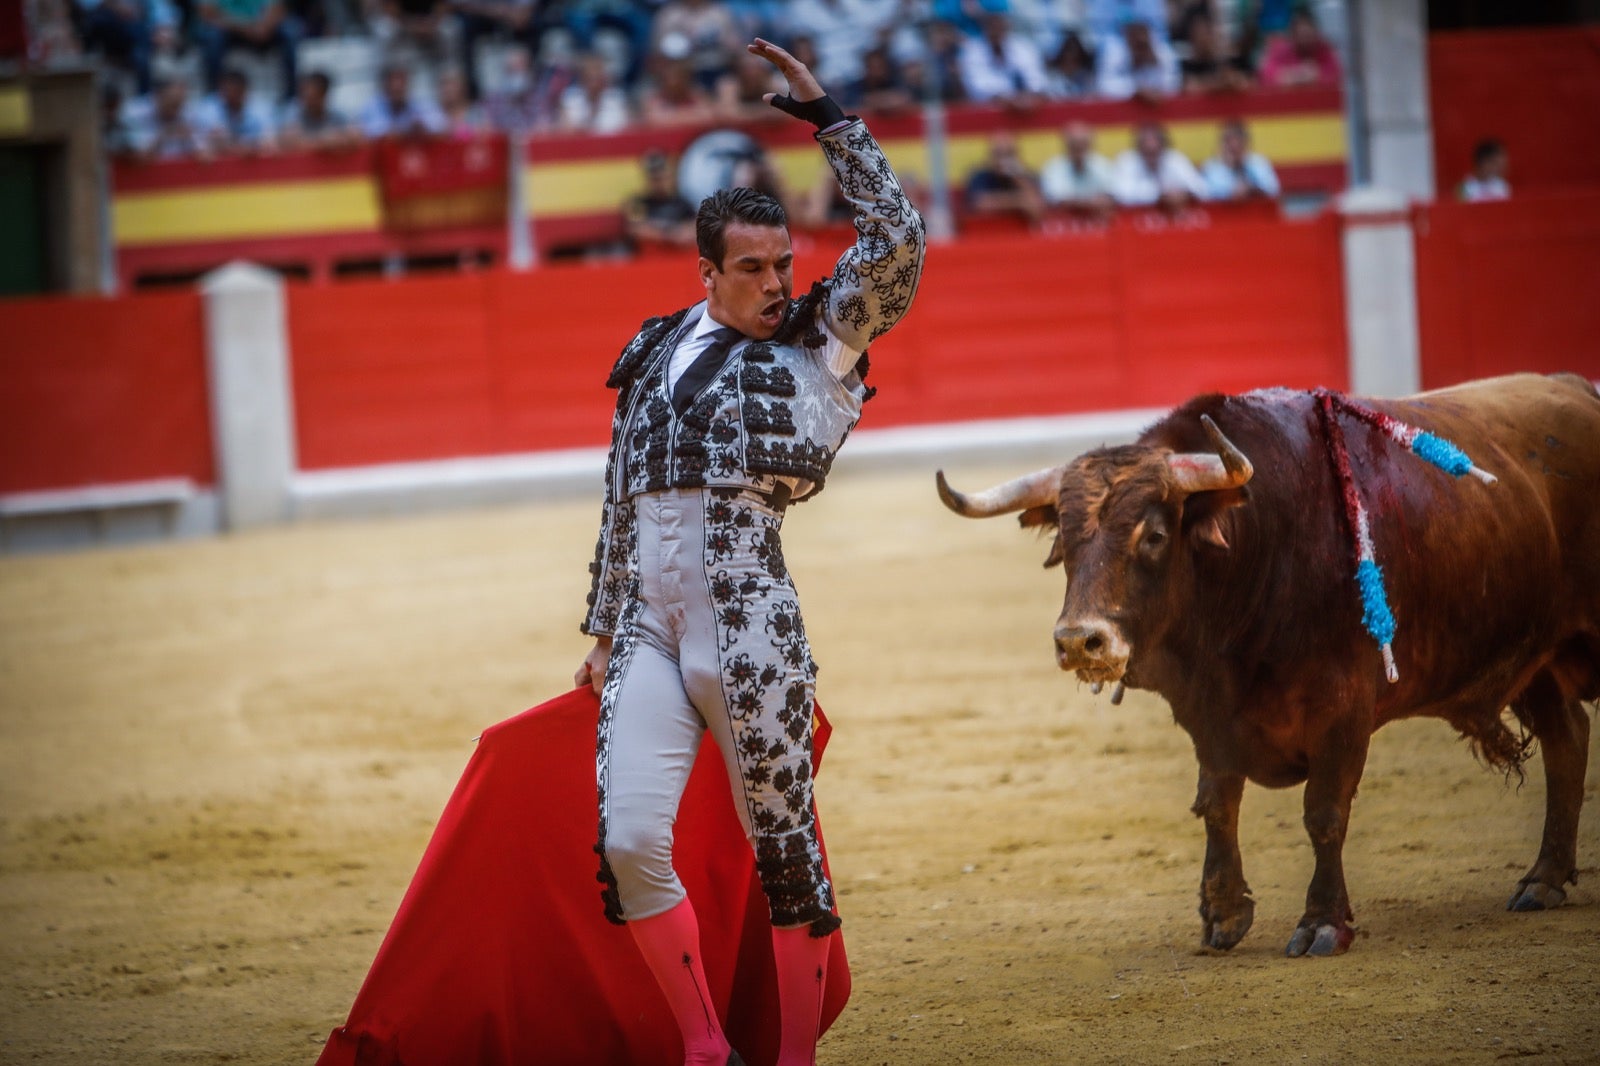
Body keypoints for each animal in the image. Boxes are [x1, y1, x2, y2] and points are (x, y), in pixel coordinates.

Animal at [934, 371, 1600, 953]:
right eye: (1064, 543)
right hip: (1536, 659)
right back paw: (1543, 880)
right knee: (1567, 737)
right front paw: (1223, 914)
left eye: (1154, 536)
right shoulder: (1209, 717)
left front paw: (1322, 923)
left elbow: (1324, 813)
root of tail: (1579, 388)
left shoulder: (1343, 710)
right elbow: (1217, 804)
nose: (1080, 641)